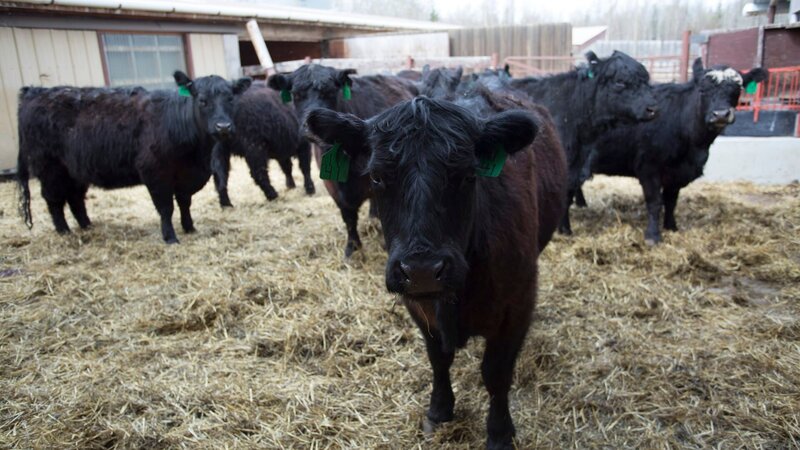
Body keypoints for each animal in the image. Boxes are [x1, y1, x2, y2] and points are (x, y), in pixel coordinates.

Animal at [16, 72, 251, 243]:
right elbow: (166, 208)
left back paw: (87, 225)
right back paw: (64, 231)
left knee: (75, 199)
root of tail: (34, 92)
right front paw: (170, 237)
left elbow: (185, 203)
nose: (223, 127)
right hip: (50, 169)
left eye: (231, 98)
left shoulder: (187, 176)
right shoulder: (155, 173)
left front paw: (189, 227)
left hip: (75, 172)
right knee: (54, 200)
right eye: (202, 101)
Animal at [267, 64, 418, 257]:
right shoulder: (334, 188)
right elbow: (349, 218)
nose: (308, 127)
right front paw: (352, 247)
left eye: (330, 92)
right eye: (296, 95)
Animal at [305, 92, 559, 448]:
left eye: (468, 175)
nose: (422, 269)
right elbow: (438, 358)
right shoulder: (417, 304)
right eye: (377, 176)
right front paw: (439, 409)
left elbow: (496, 373)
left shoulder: (517, 304)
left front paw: (499, 432)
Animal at [509, 50, 659, 235]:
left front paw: (565, 228)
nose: (653, 108)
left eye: (646, 81)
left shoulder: (577, 165)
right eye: (620, 82)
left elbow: (568, 196)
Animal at [580, 59, 768, 244]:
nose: (721, 114)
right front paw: (653, 236)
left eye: (738, 89)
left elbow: (671, 201)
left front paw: (671, 227)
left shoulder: (677, 173)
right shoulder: (648, 168)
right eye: (702, 90)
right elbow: (655, 202)